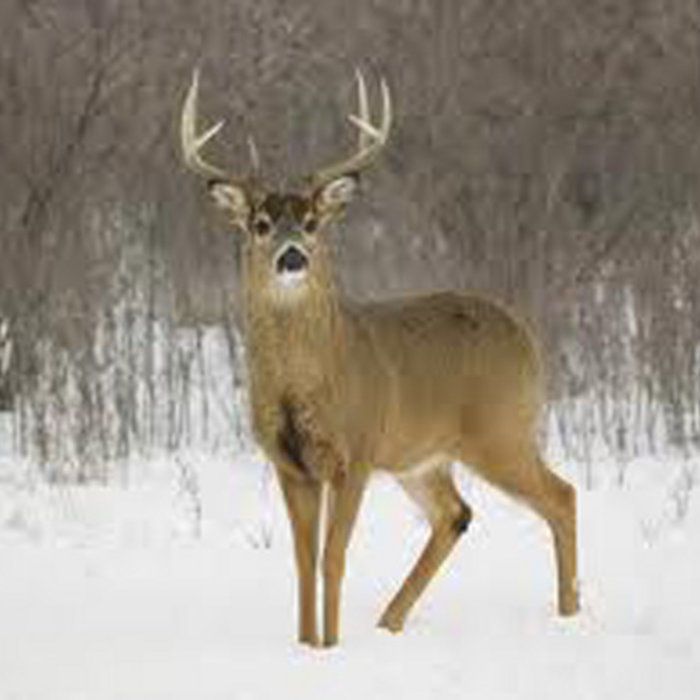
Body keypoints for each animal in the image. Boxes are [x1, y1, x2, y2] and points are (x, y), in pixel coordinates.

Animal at [180, 69, 579, 648]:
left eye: (311, 221)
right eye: (260, 223)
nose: (292, 255)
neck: (306, 385)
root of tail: (524, 333)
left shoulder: (357, 452)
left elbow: (333, 559)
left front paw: (329, 646)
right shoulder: (289, 463)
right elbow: (302, 563)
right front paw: (306, 645)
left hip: (500, 430)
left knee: (561, 496)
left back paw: (571, 613)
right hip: (422, 456)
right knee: (456, 514)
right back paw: (390, 622)